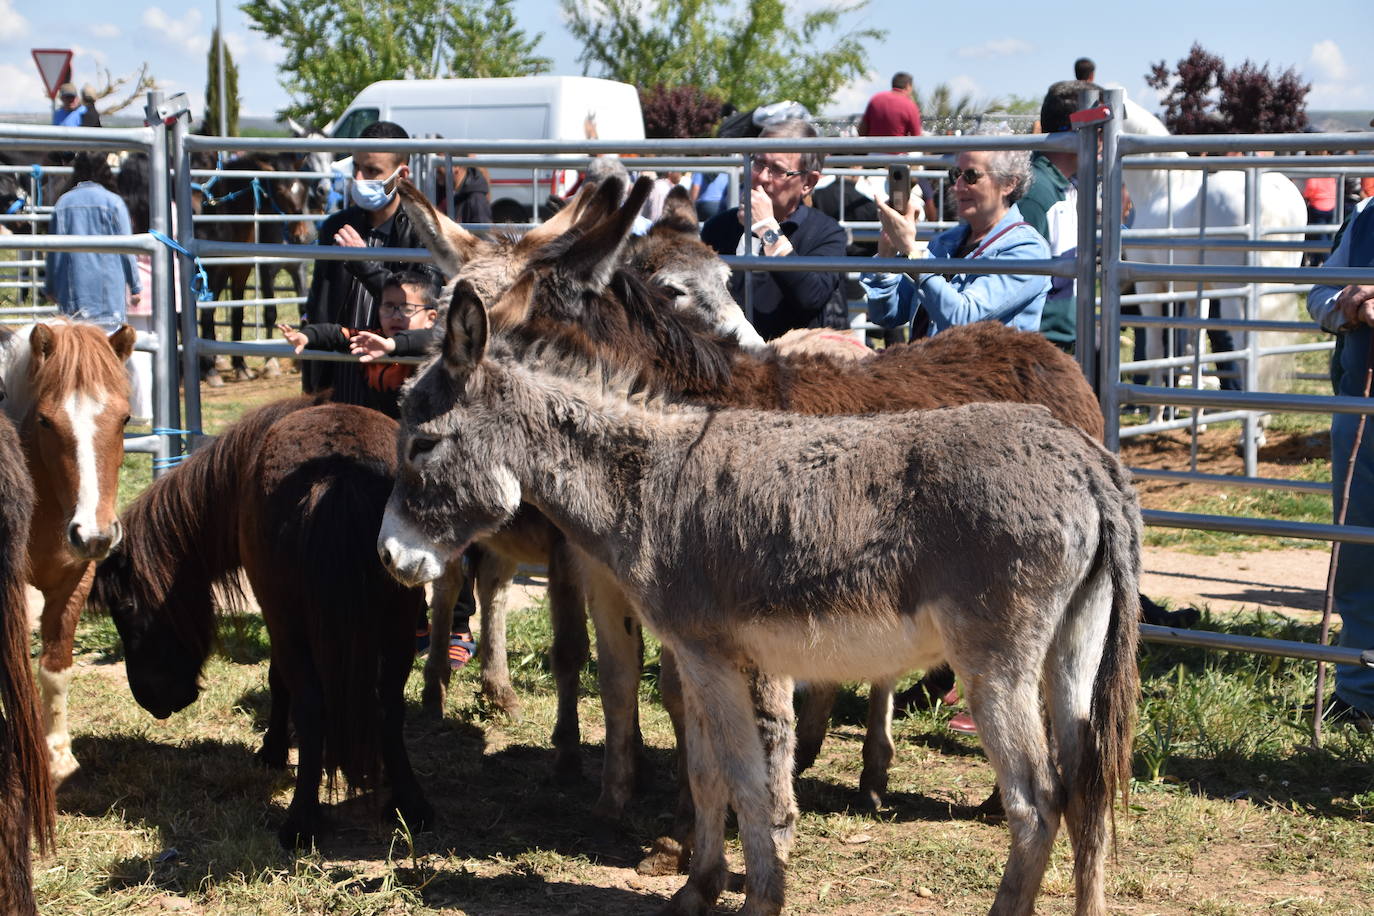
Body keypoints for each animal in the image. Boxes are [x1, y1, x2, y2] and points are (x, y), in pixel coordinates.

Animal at [89, 395, 431, 845]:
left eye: (125, 609)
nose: (153, 701)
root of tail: (339, 476)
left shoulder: (275, 617)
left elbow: (277, 680)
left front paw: (272, 751)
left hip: (293, 621)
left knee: (313, 706)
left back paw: (301, 822)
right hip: (399, 622)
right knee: (390, 705)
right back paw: (410, 804)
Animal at [1115, 94, 1297, 406]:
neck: (1161, 187)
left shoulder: (1149, 285)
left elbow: (1155, 350)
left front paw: (1158, 409)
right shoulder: (1196, 290)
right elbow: (1193, 348)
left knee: (1248, 349)